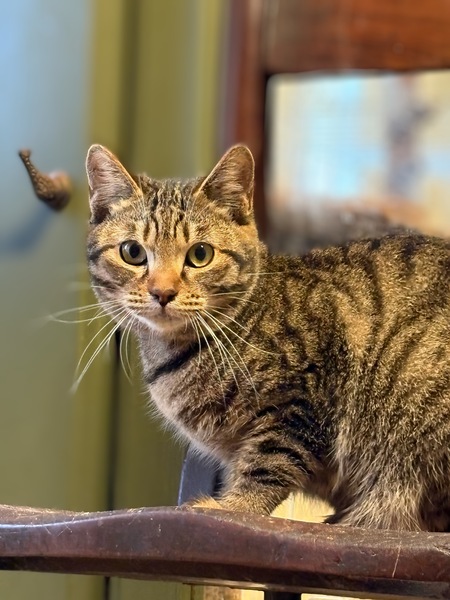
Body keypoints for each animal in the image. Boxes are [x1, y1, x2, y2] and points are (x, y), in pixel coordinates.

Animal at [86, 143, 450, 531]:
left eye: (200, 254)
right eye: (132, 252)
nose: (162, 292)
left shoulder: (299, 405)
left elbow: (266, 468)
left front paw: (229, 507)